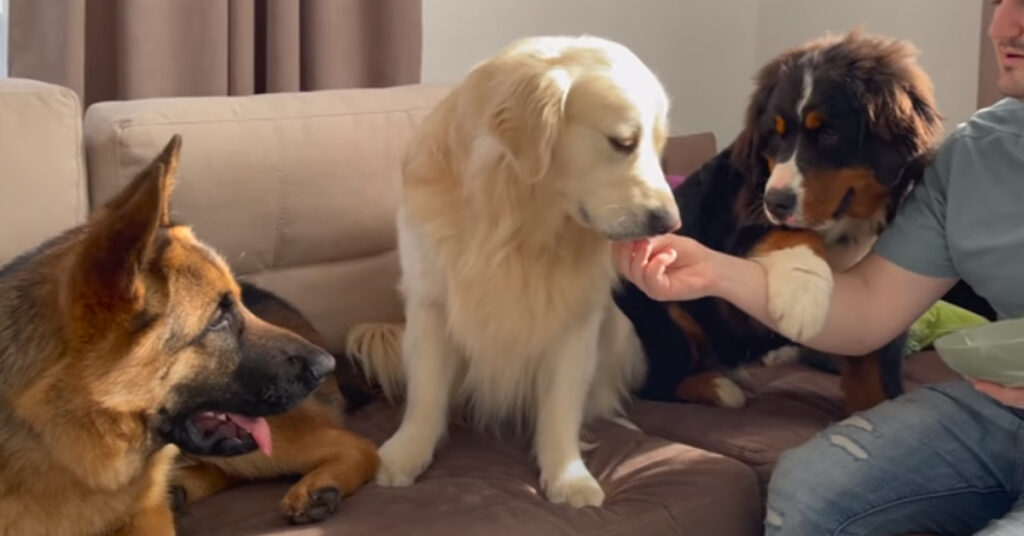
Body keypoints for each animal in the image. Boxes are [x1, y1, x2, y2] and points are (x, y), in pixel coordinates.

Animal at [0, 135, 376, 536]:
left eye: (236, 304)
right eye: (216, 320)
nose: (326, 362)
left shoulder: (146, 514)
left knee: (360, 446)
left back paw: (322, 486)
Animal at [350, 36, 679, 508]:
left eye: (660, 147)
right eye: (623, 141)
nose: (670, 223)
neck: (519, 222)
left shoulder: (576, 322)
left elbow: (561, 408)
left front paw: (569, 477)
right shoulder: (429, 305)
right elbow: (426, 396)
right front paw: (405, 453)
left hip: (621, 333)